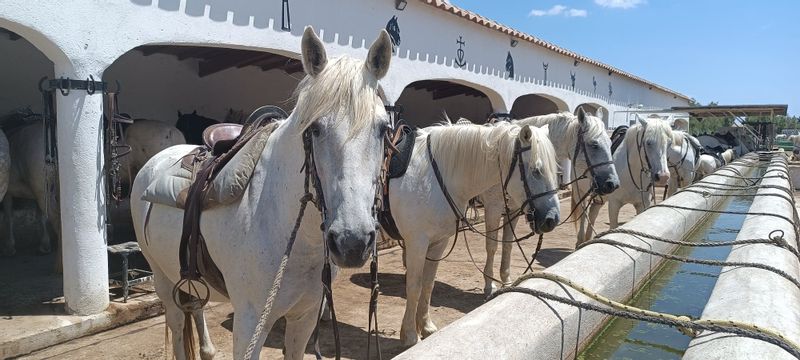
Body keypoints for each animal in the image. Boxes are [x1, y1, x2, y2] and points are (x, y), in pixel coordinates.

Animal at [132, 28, 394, 360]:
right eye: (315, 129)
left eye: (383, 129)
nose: (352, 242)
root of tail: (155, 160)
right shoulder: (250, 324)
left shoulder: (305, 316)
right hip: (162, 279)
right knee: (178, 327)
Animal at [390, 119, 564, 344]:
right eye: (536, 170)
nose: (552, 219)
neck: (432, 178)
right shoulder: (417, 243)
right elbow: (414, 286)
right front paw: (411, 335)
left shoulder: (438, 242)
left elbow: (428, 284)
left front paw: (426, 327)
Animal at [478, 109, 616, 296]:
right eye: (594, 144)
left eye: (610, 143)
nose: (613, 184)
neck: (507, 161)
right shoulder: (493, 208)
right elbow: (491, 246)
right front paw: (489, 285)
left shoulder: (513, 210)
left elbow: (508, 245)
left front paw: (506, 282)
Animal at [580, 116, 672, 245]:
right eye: (648, 142)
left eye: (669, 143)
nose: (663, 177)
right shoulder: (614, 204)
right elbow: (613, 227)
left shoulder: (642, 205)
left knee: (593, 212)